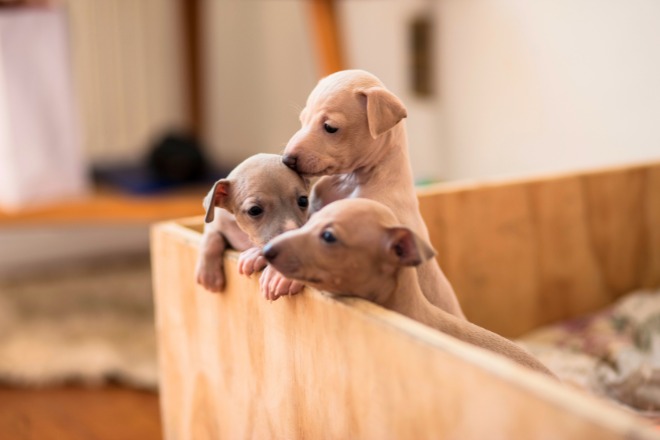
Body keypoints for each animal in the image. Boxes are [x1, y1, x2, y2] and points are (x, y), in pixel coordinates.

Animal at [196, 153, 310, 298]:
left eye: (303, 200)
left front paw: (278, 274)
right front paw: (208, 271)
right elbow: (211, 237)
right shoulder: (216, 223)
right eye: (254, 210)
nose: (290, 244)